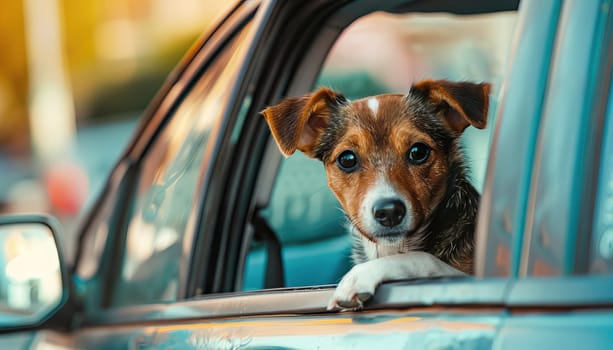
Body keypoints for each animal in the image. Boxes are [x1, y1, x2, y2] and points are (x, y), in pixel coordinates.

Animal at [260, 78, 490, 308]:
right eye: (347, 159)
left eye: (418, 152)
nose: (389, 211)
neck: (392, 248)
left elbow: (422, 259)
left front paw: (361, 275)